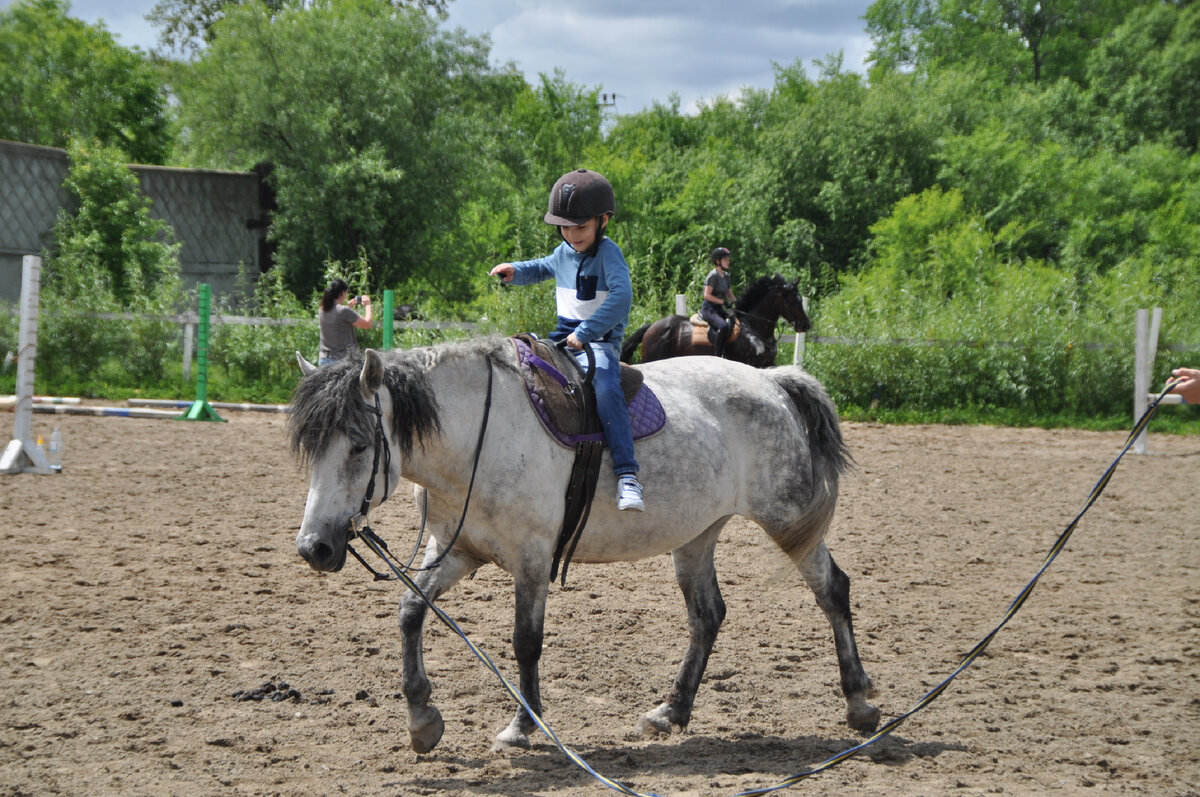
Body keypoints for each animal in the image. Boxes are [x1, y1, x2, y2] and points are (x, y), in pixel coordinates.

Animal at [286, 333, 878, 753]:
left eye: (358, 445)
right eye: (311, 448)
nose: (314, 548)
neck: (477, 437)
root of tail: (775, 382)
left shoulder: (531, 559)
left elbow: (526, 642)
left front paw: (523, 726)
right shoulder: (458, 550)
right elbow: (411, 611)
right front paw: (423, 720)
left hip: (789, 522)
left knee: (832, 590)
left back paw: (859, 703)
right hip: (695, 538)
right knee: (708, 616)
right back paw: (672, 711)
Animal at [624, 273, 811, 367]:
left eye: (800, 300)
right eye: (793, 301)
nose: (806, 325)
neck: (754, 328)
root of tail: (652, 327)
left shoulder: (768, 364)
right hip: (652, 357)